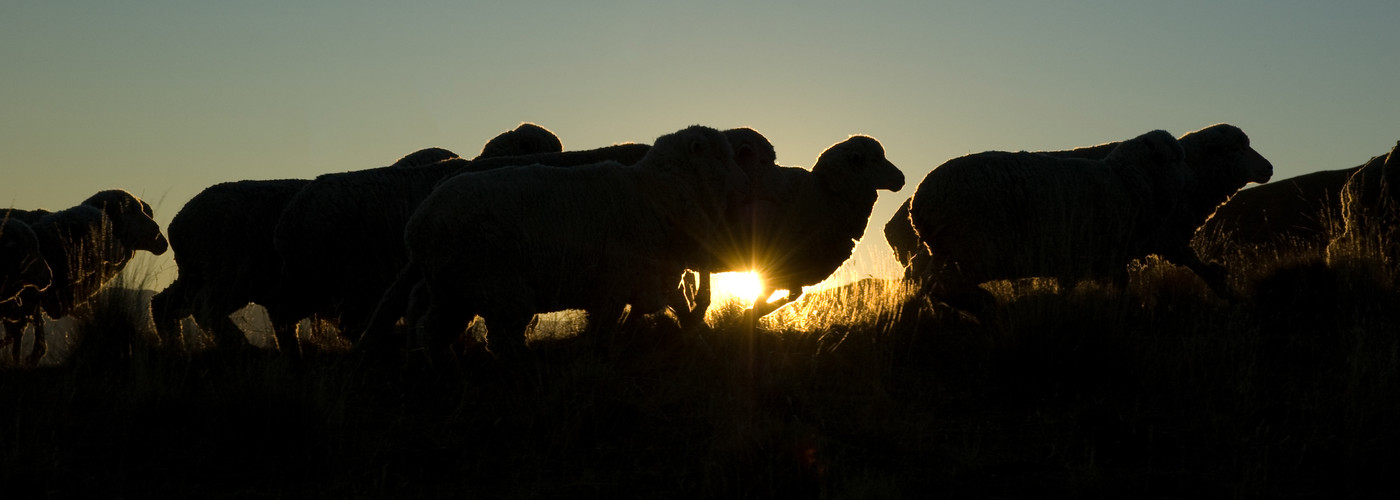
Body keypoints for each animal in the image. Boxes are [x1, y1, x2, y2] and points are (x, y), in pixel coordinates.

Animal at [150, 122, 566, 355]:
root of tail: (180, 221)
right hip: (247, 274)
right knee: (210, 310)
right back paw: (245, 347)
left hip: (209, 274)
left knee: (165, 304)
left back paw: (175, 343)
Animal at [396, 125, 745, 360]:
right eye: (724, 156)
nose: (741, 184)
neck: (659, 192)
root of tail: (418, 224)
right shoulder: (612, 286)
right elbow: (604, 335)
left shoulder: (646, 283)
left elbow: (666, 318)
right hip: (497, 285)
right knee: (502, 342)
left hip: (454, 289)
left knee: (434, 330)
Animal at [676, 135, 906, 325]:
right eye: (876, 159)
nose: (902, 179)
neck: (825, 194)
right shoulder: (774, 263)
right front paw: (750, 315)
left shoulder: (792, 271)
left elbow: (795, 294)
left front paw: (753, 313)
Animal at [891, 124, 1272, 295]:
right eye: (1237, 148)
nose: (1269, 168)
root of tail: (916, 203)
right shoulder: (1162, 238)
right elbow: (1200, 268)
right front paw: (1228, 294)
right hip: (972, 250)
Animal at [909, 130, 1193, 314]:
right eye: (1176, 158)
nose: (1191, 178)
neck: (1126, 181)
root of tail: (920, 201)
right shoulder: (1102, 254)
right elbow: (1115, 290)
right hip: (974, 248)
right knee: (948, 285)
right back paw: (981, 305)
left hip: (945, 250)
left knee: (929, 282)